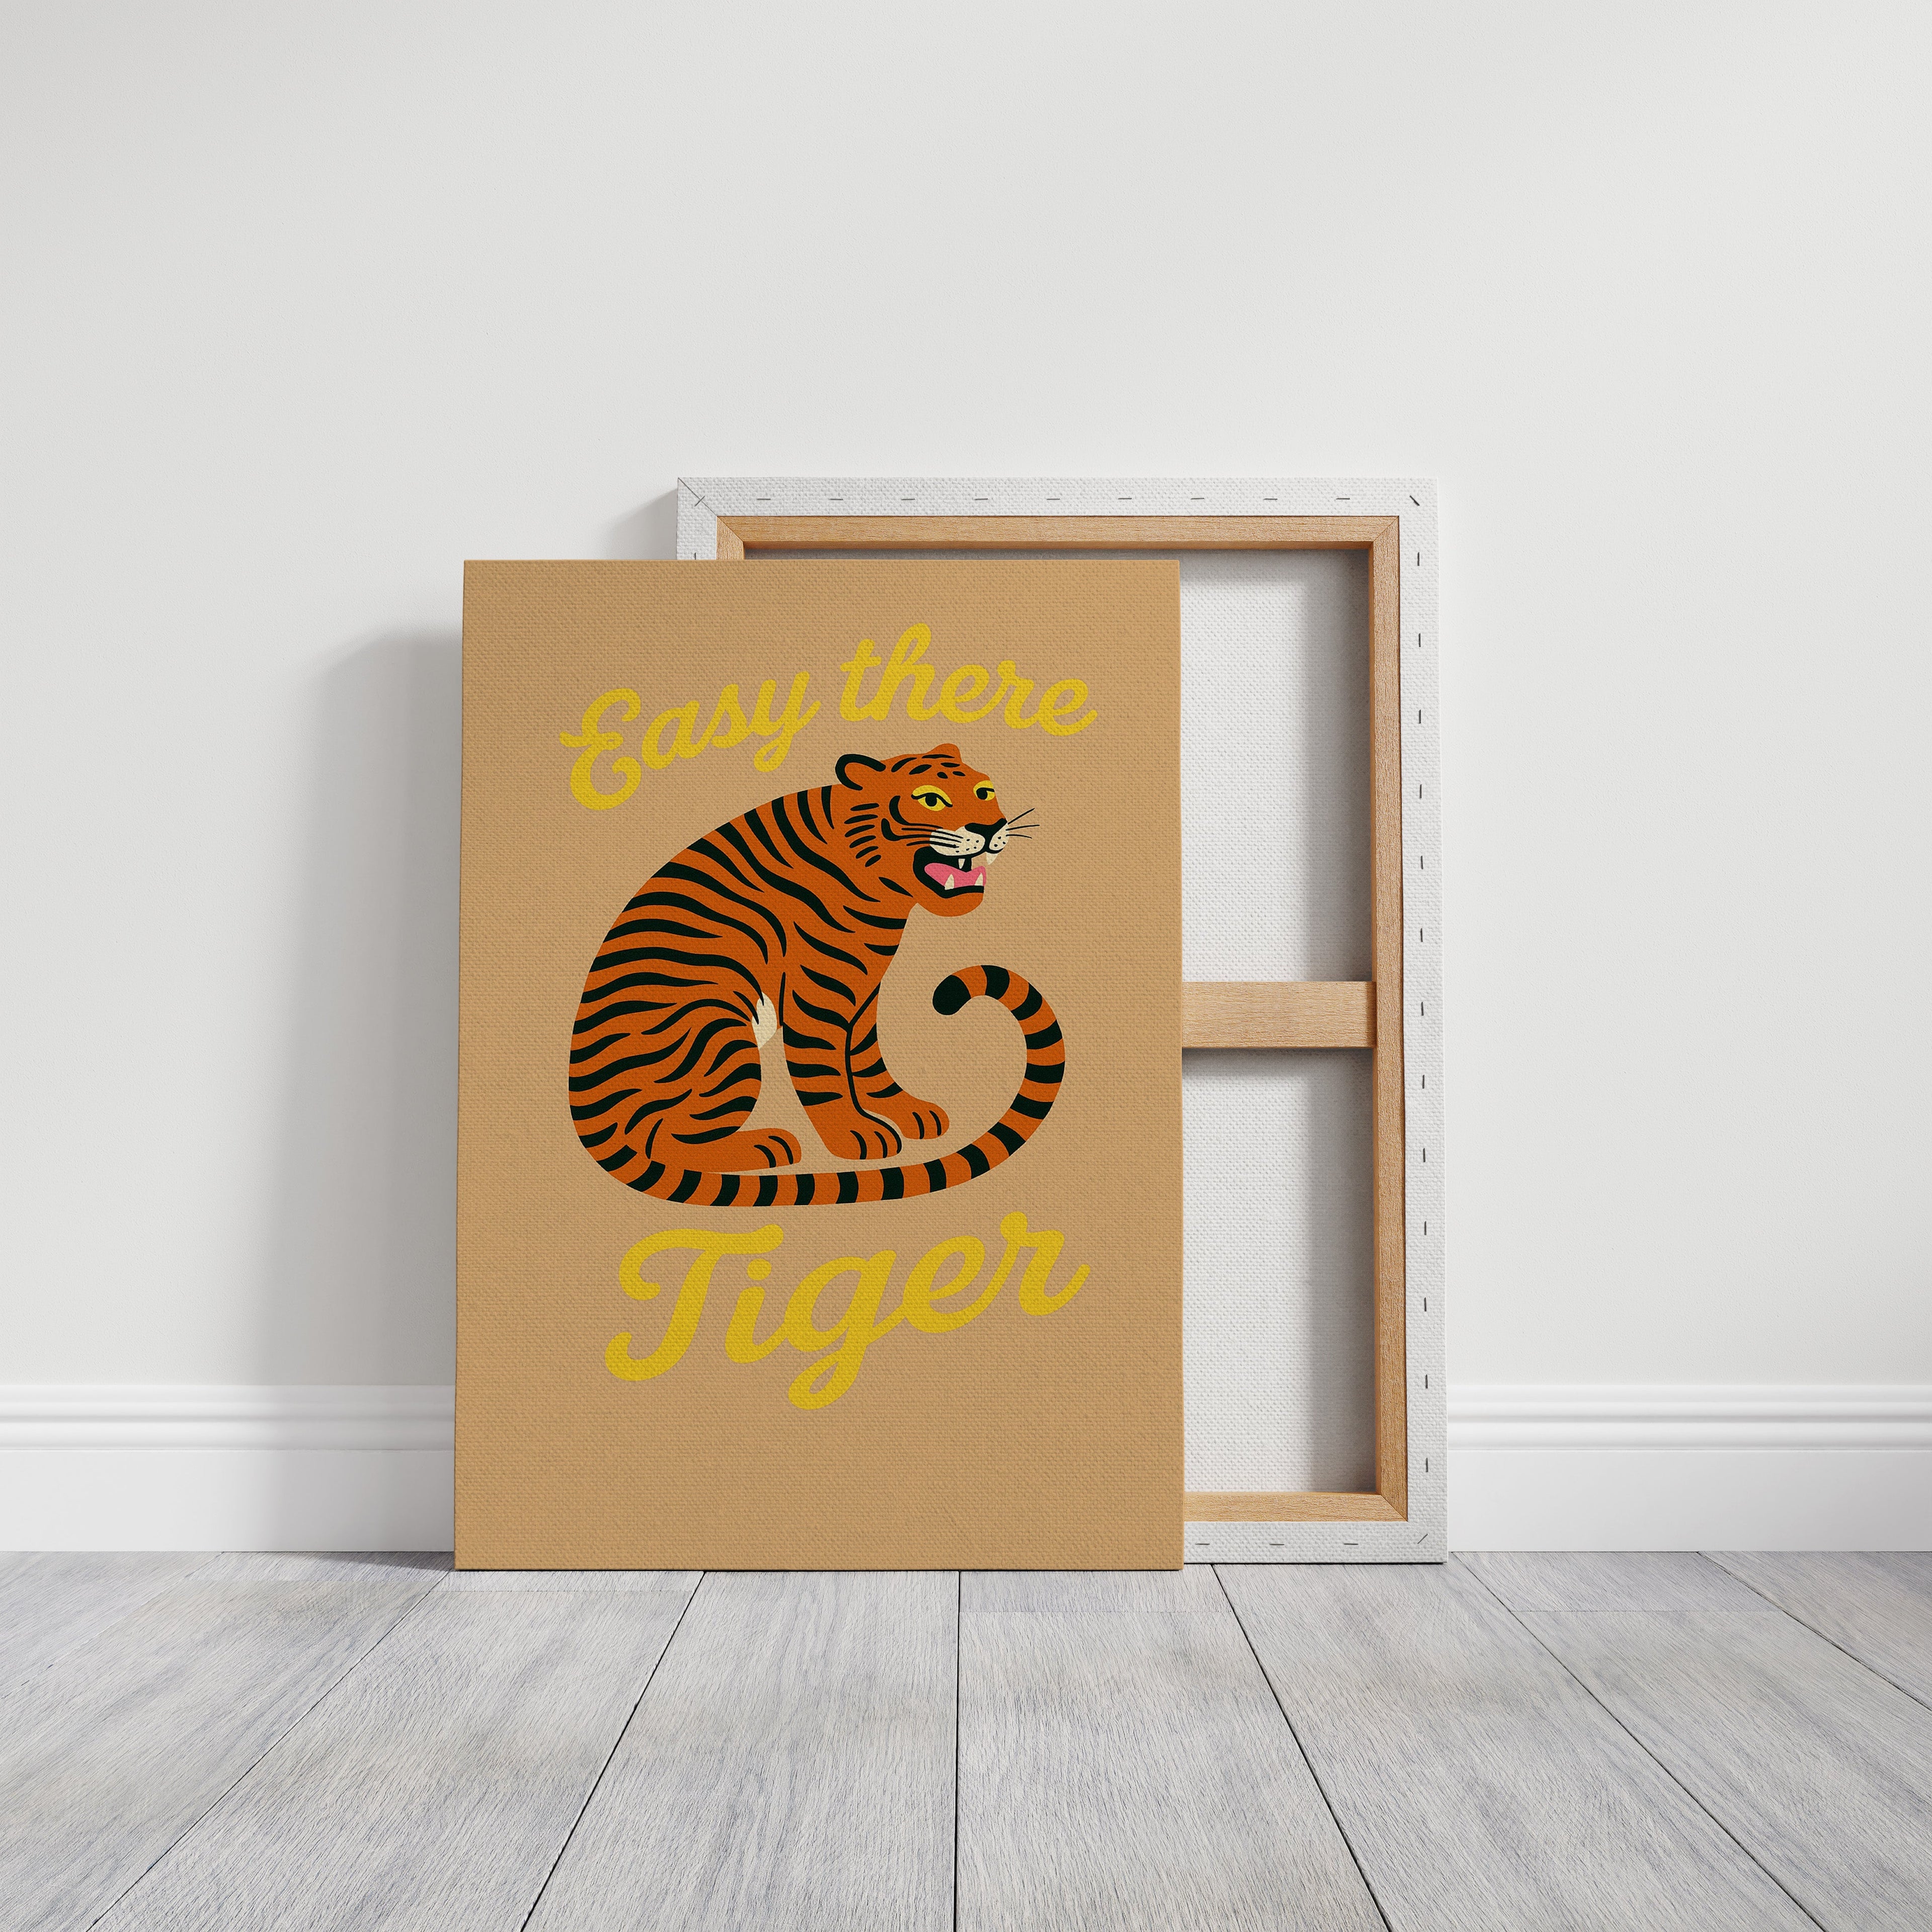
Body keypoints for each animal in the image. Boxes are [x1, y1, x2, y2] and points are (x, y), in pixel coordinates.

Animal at [568, 744, 1062, 1208]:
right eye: (932, 800)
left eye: (985, 792)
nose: (990, 829)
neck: (885, 890)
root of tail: (585, 1111)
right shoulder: (819, 990)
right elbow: (823, 1068)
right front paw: (855, 1136)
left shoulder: (863, 986)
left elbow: (864, 1057)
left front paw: (905, 1110)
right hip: (720, 1033)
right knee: (661, 1138)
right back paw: (765, 1145)